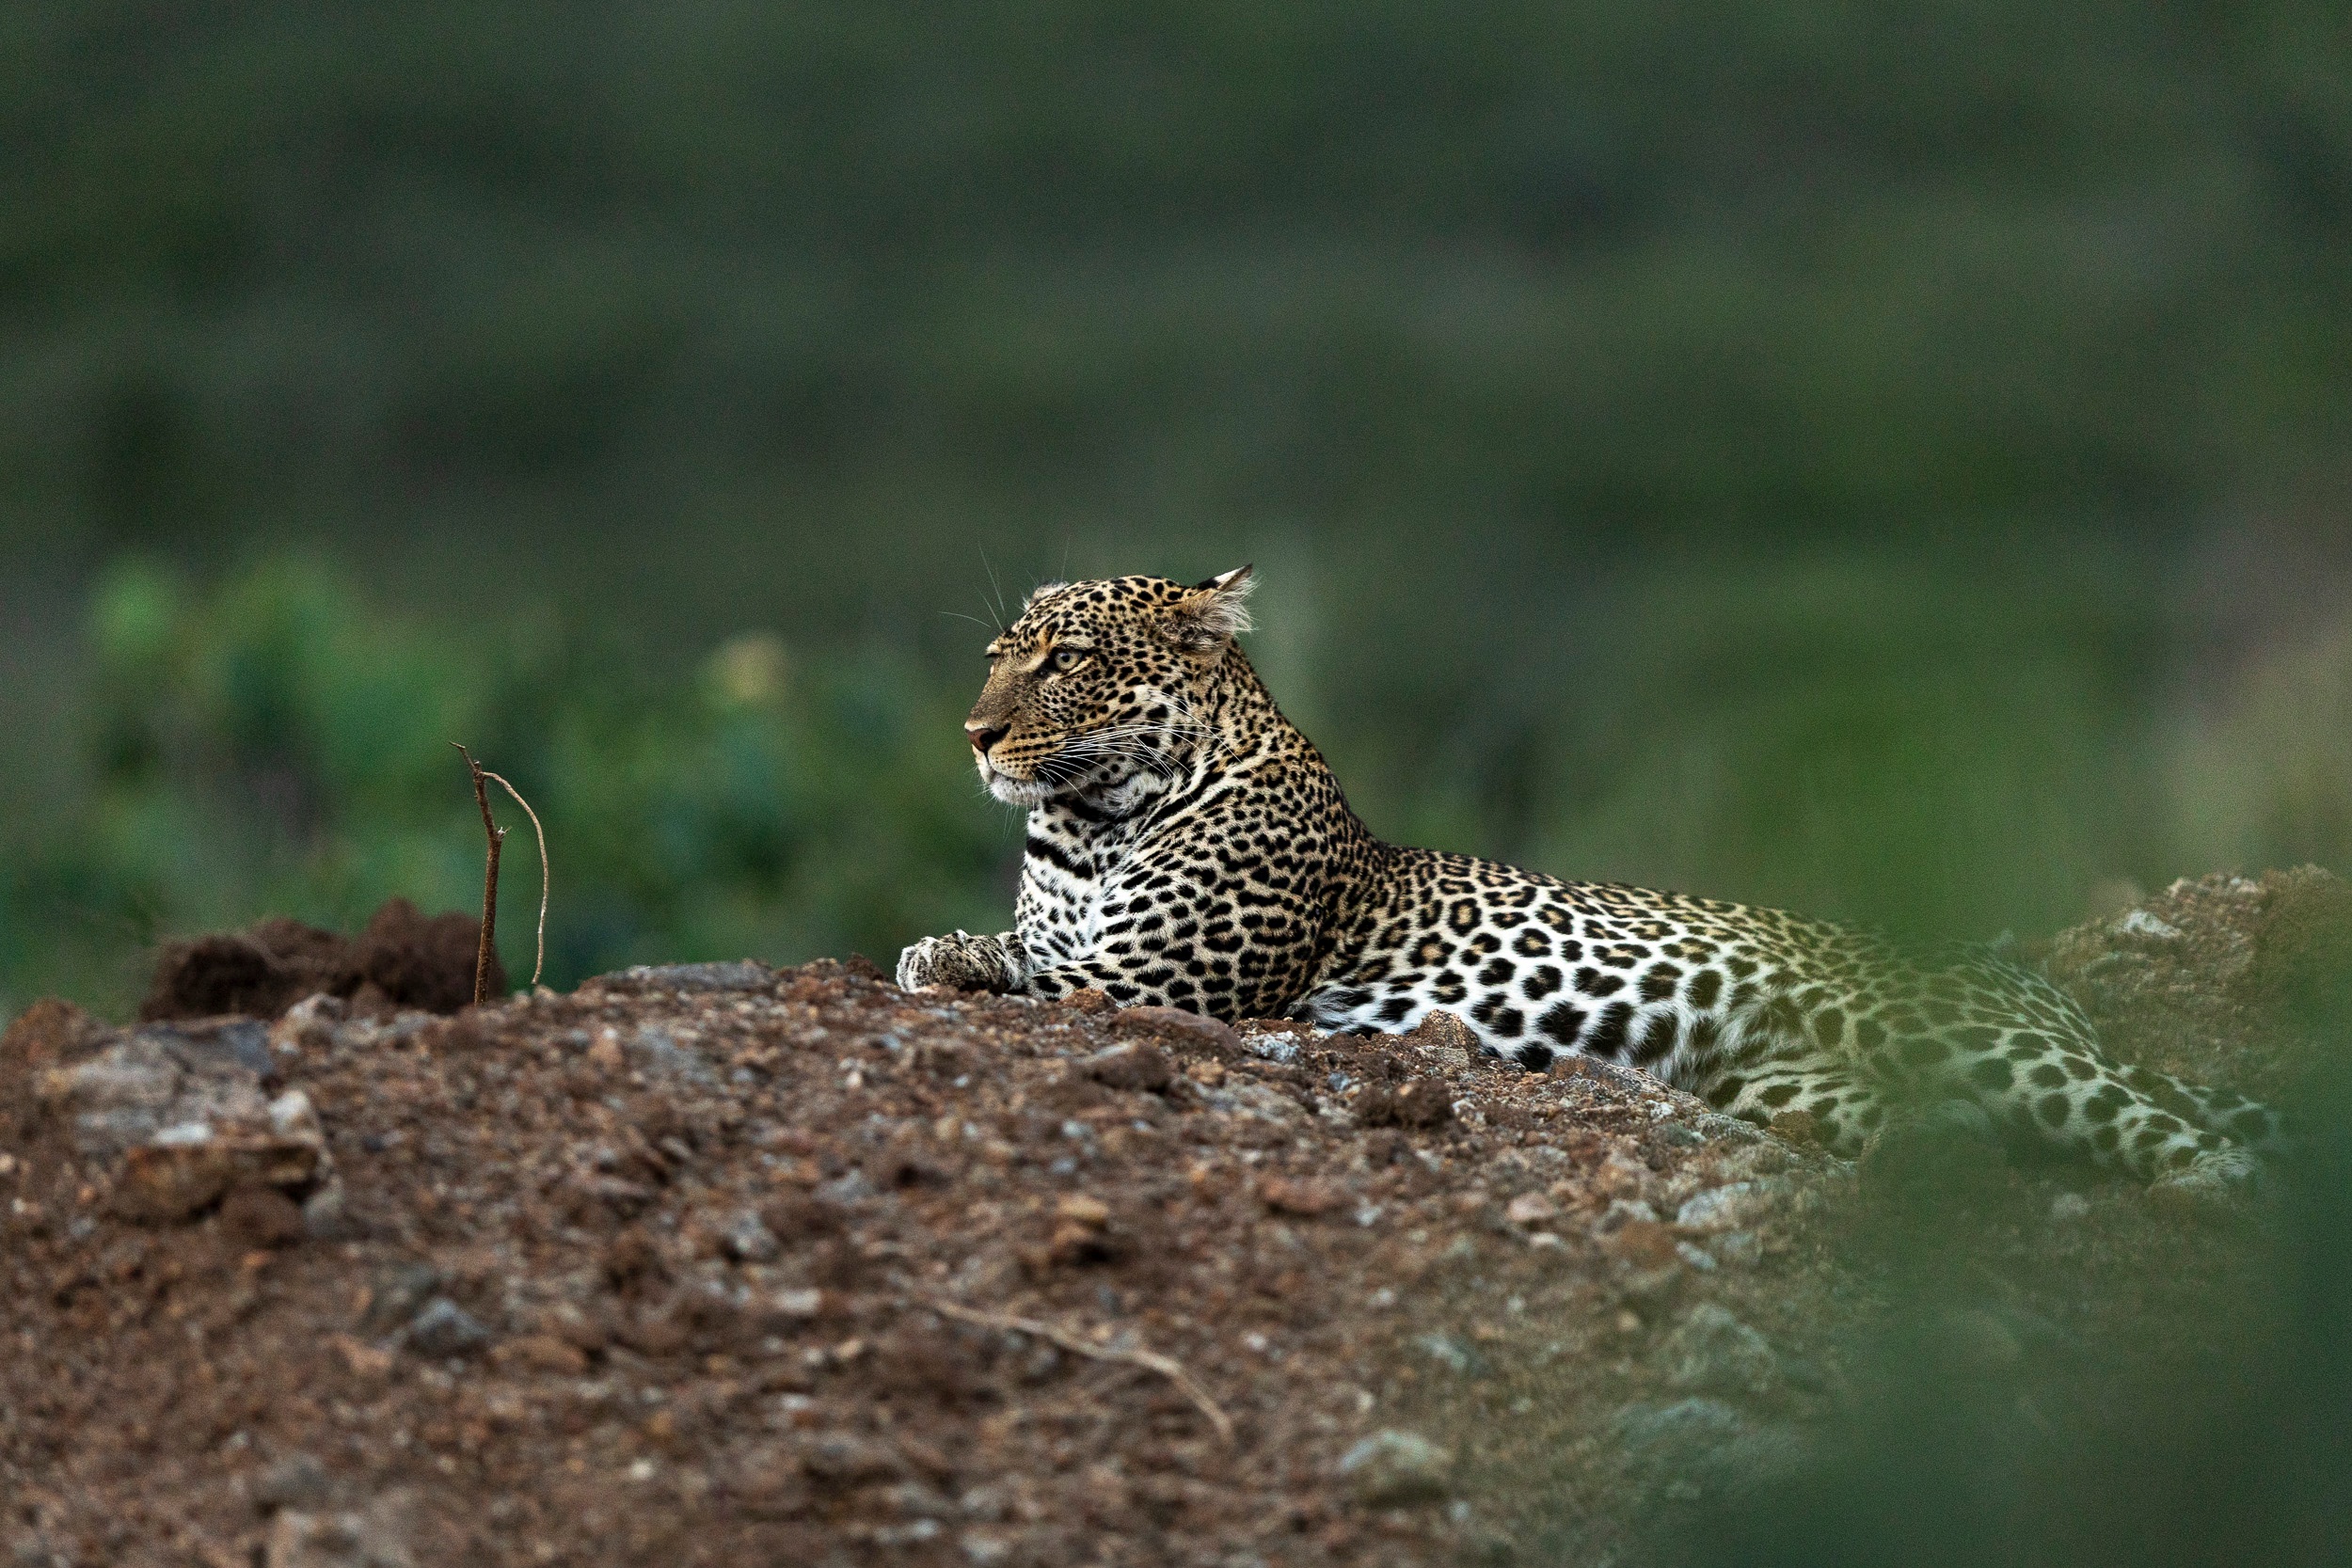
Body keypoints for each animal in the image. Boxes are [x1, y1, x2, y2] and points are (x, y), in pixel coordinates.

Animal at [897, 567, 2278, 1192]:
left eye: (1065, 661)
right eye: (999, 655)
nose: (971, 734)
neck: (1087, 821)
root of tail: (2053, 997)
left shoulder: (1174, 974)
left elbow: (1049, 972)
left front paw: (942, 955)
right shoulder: (1097, 933)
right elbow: (1026, 946)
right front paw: (941, 944)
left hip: (1999, 1050)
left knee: (2181, 1136)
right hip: (1812, 1084)